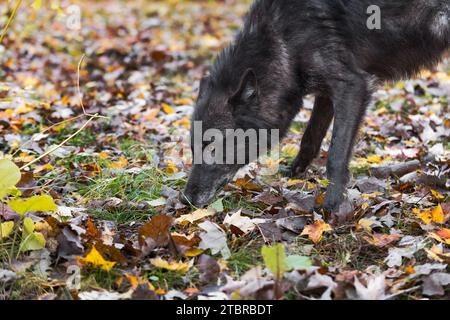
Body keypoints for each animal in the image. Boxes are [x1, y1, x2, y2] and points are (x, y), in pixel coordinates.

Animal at [182, 0, 446, 212]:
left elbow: (336, 156)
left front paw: (333, 206)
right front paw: (294, 173)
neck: (281, 39)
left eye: (213, 147)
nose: (185, 199)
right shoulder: (326, 93)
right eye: (193, 149)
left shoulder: (352, 87)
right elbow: (310, 138)